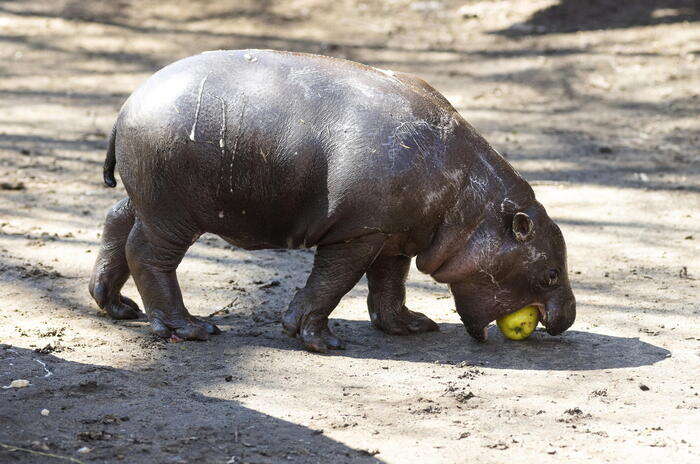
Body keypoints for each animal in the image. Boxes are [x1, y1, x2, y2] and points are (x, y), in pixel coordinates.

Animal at [90, 49, 576, 352]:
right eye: (551, 273)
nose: (569, 318)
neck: (471, 204)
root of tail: (127, 105)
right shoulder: (358, 233)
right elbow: (333, 282)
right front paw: (320, 341)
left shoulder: (396, 234)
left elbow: (389, 283)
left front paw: (412, 326)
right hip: (173, 212)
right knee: (148, 254)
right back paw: (193, 329)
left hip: (149, 199)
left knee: (116, 222)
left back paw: (118, 307)